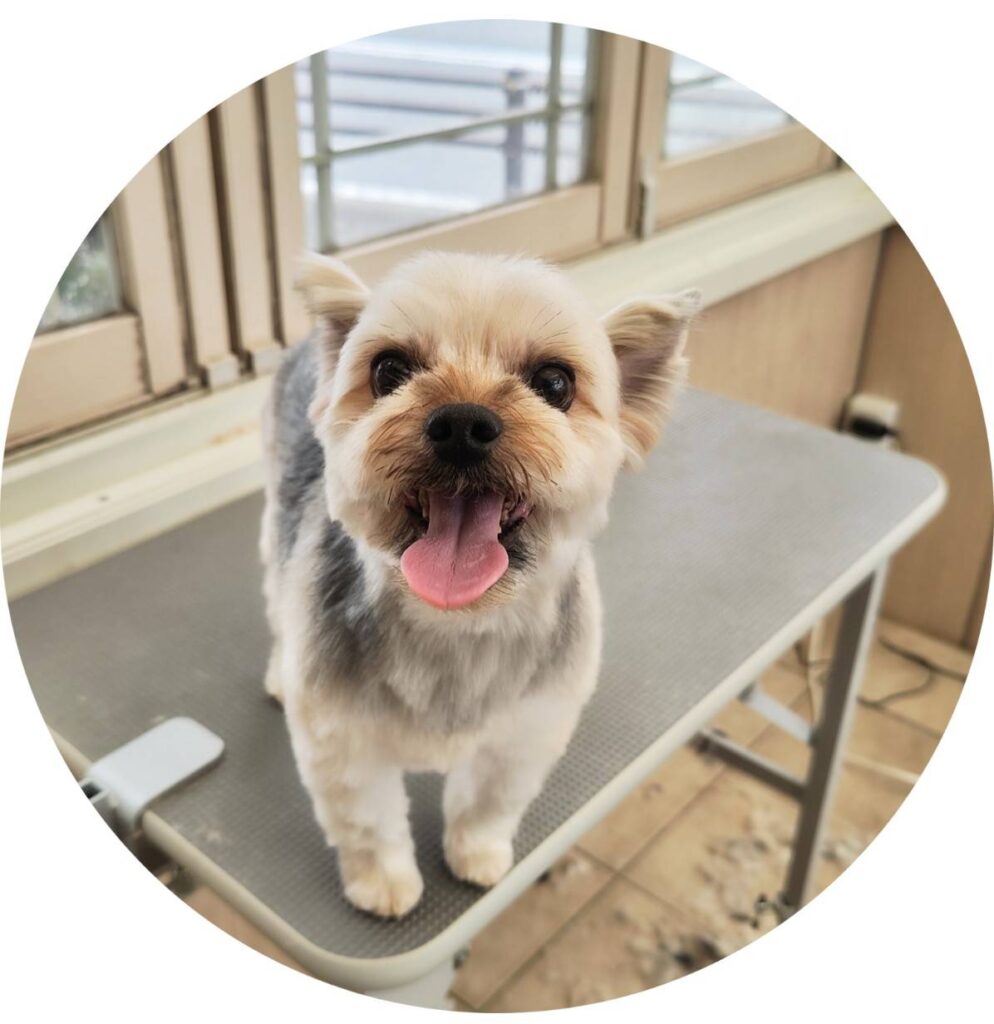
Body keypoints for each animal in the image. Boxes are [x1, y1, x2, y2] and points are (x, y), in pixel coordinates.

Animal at [260, 250, 698, 918]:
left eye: (555, 383)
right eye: (389, 369)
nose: (462, 422)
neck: (453, 622)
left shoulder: (526, 730)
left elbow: (490, 802)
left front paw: (478, 855)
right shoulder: (343, 739)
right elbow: (368, 819)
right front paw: (383, 882)